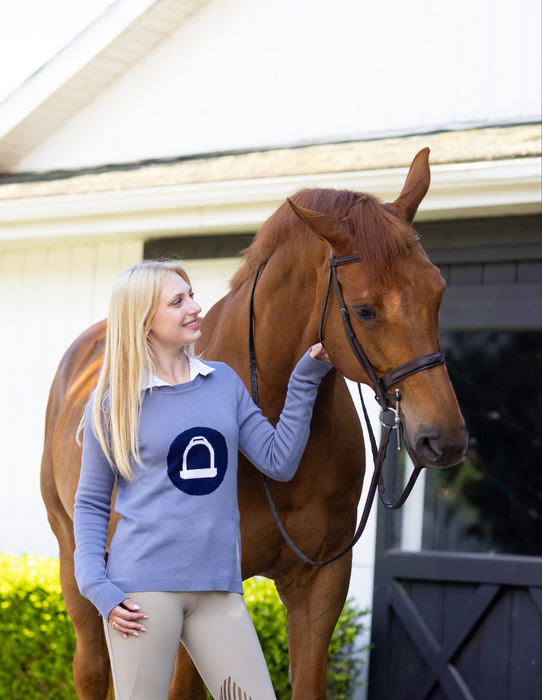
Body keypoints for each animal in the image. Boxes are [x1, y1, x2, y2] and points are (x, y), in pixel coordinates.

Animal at [41, 149, 468, 700]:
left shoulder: (320, 586)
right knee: (92, 667)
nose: (444, 438)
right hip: (74, 557)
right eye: (366, 309)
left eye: (438, 291)